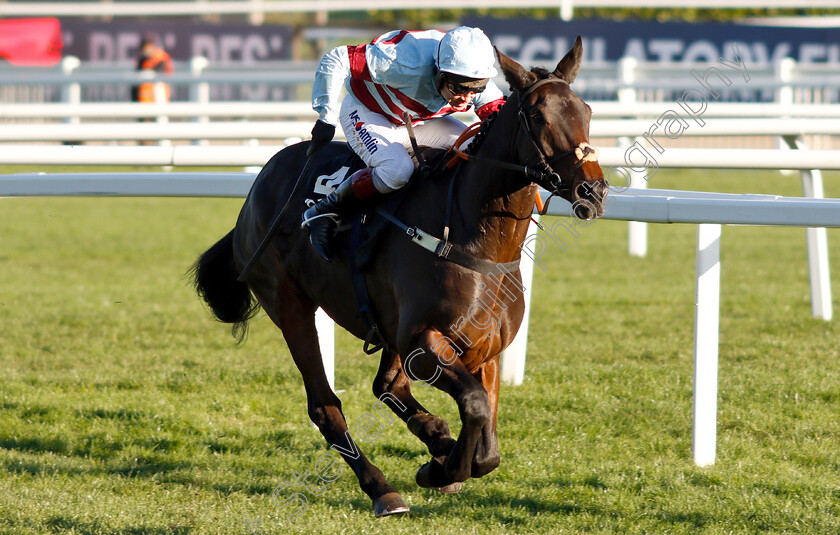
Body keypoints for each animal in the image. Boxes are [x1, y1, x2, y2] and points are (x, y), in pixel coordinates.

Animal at [194, 36, 608, 516]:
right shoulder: (422, 341)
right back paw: (382, 488)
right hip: (291, 307)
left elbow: (487, 439)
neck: (473, 240)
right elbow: (475, 407)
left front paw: (445, 453)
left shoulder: (483, 349)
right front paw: (440, 469)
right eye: (539, 116)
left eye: (586, 110)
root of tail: (257, 188)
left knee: (387, 384)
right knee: (325, 405)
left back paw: (435, 438)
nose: (593, 190)